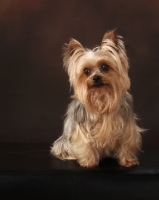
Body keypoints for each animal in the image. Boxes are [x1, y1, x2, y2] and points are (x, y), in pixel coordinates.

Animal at [51, 29, 143, 167]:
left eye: (105, 67)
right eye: (86, 71)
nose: (96, 77)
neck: (102, 96)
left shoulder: (127, 128)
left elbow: (126, 143)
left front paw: (128, 161)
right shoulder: (83, 130)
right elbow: (86, 143)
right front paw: (89, 162)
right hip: (64, 142)